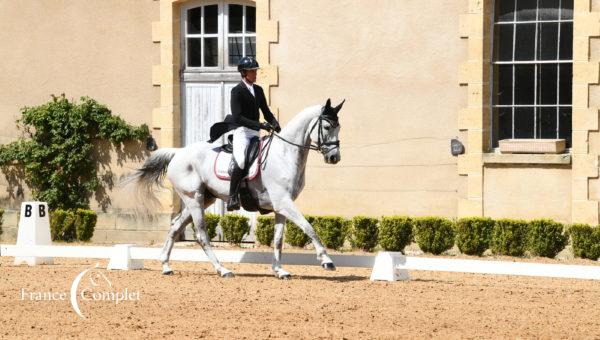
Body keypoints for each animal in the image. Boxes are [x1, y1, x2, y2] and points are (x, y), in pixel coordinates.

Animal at [124, 98, 344, 278]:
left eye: (338, 127)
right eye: (326, 126)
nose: (334, 158)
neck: (285, 154)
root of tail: (178, 153)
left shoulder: (281, 206)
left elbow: (278, 239)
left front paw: (279, 270)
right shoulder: (284, 202)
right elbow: (309, 227)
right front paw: (326, 260)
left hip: (204, 198)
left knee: (175, 226)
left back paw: (166, 266)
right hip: (194, 198)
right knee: (201, 235)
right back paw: (222, 270)